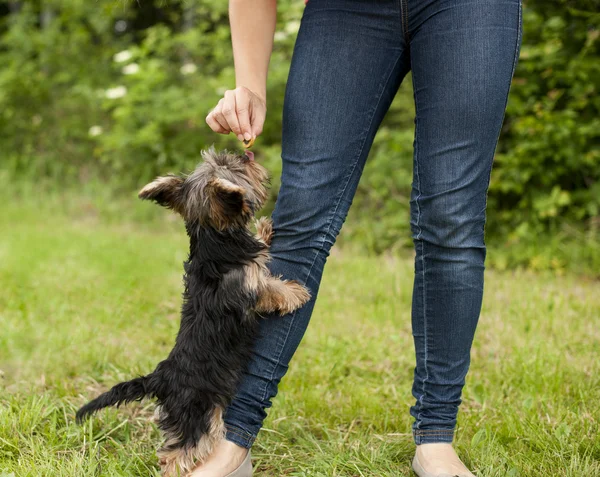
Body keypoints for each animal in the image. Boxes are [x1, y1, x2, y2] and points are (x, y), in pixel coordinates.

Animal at [75, 147, 310, 474]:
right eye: (233, 166)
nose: (245, 154)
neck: (212, 238)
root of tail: (161, 377)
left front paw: (264, 229)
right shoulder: (249, 288)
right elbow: (272, 288)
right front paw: (297, 293)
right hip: (200, 414)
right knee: (179, 452)